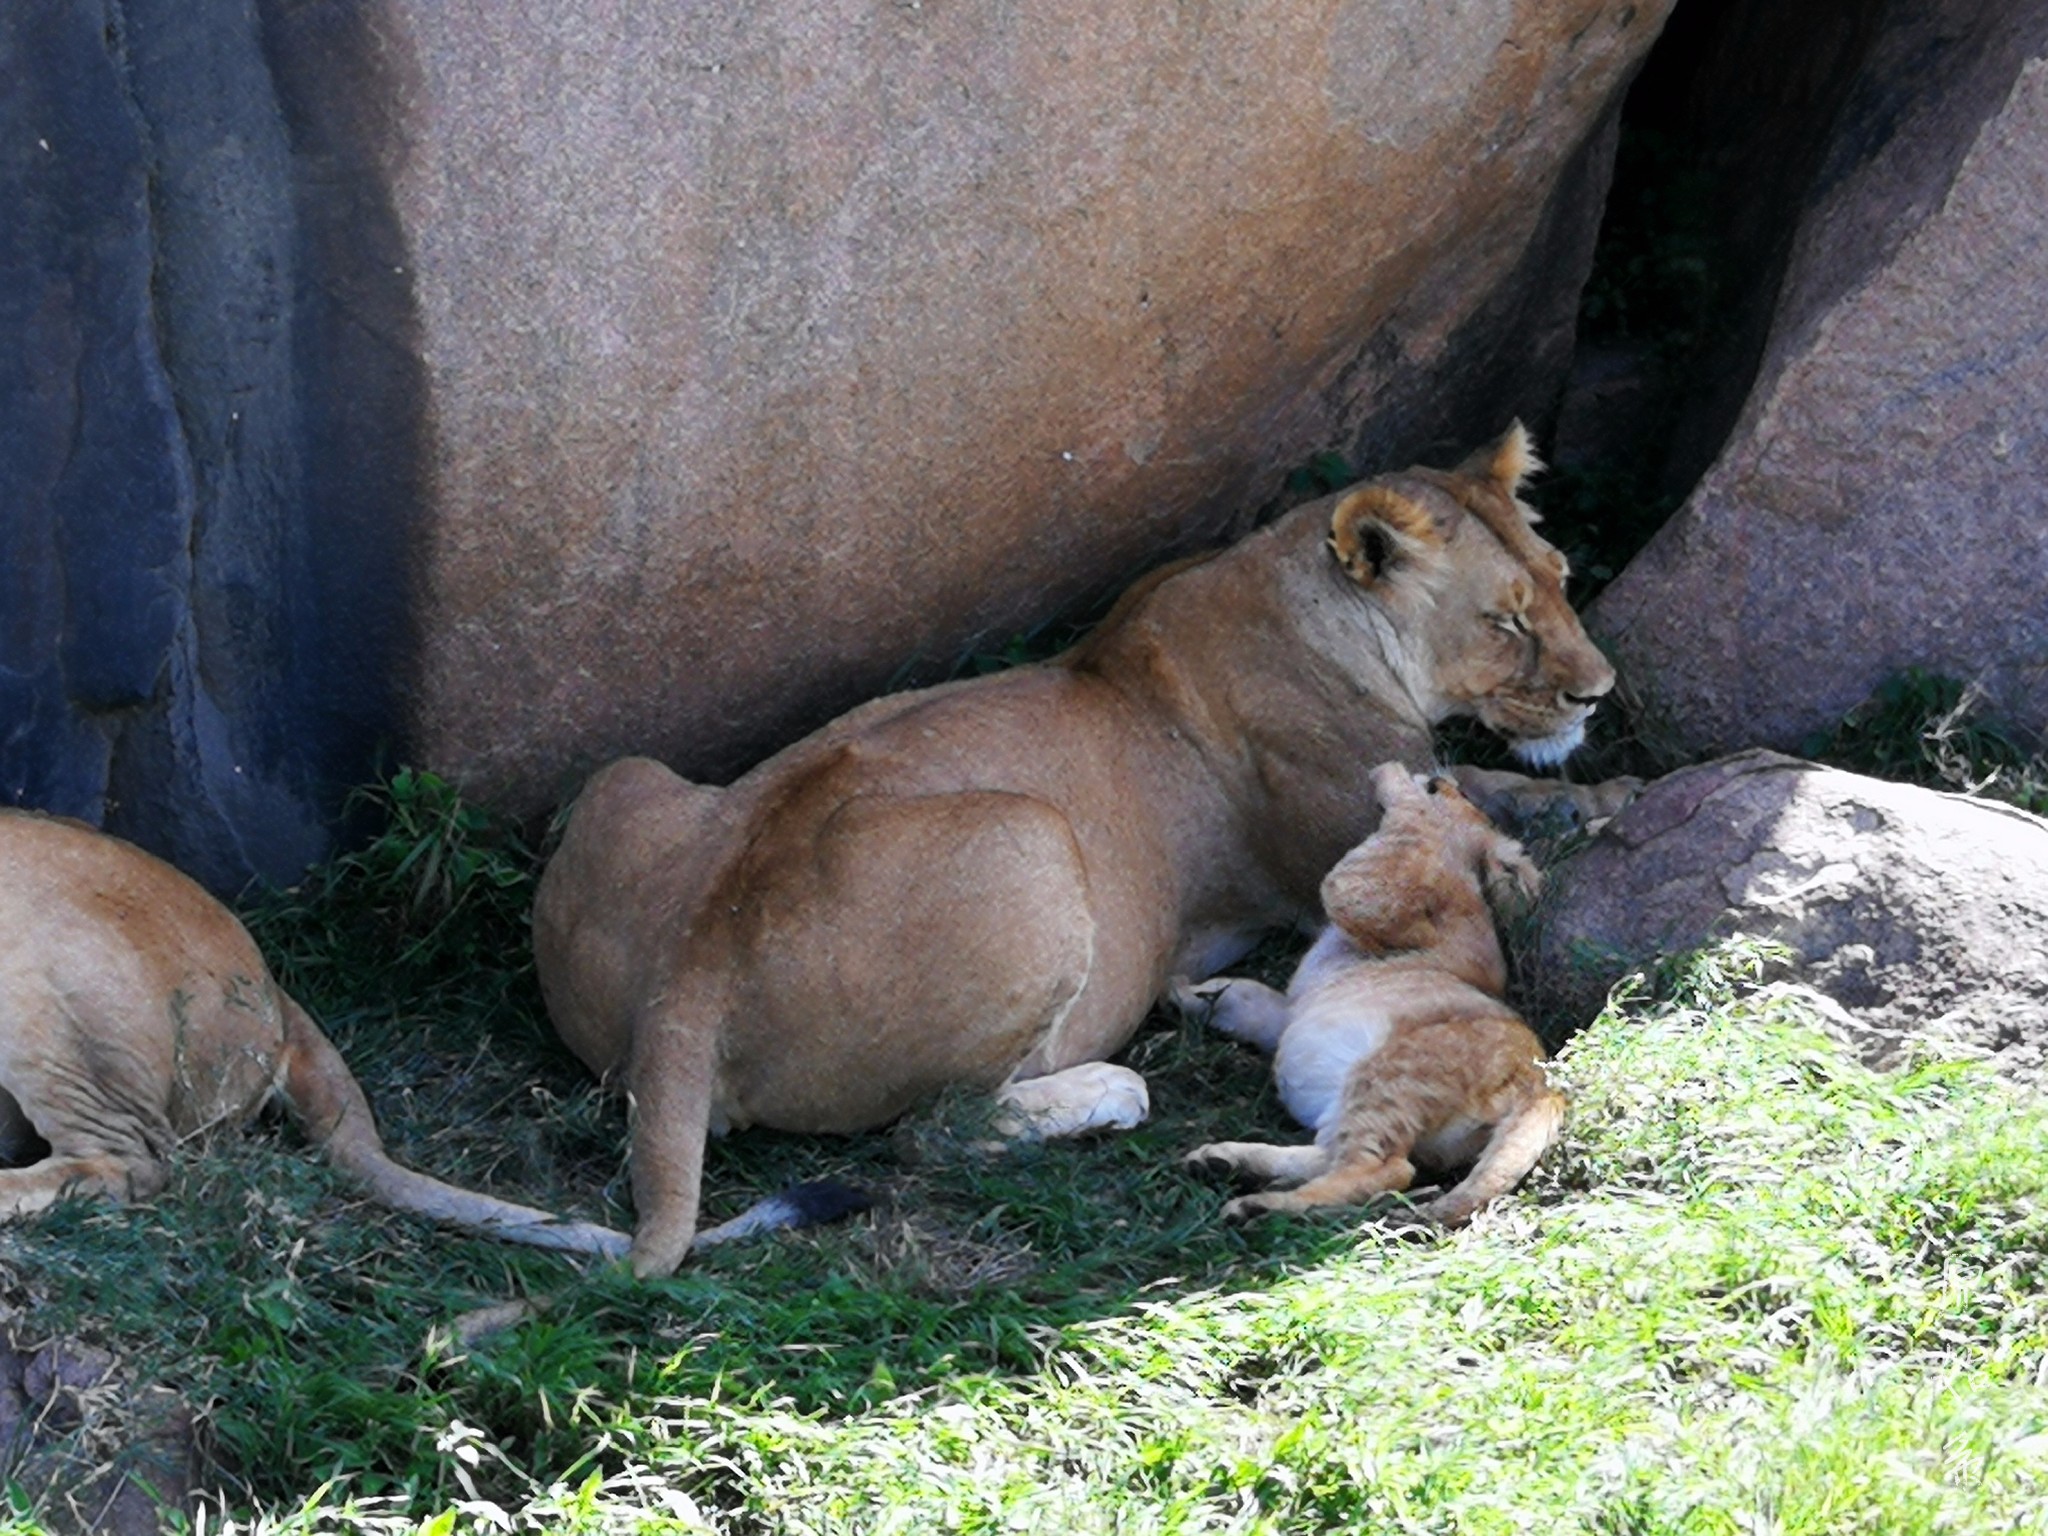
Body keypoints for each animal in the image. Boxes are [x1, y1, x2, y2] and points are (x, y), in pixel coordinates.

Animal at [1179, 765, 1556, 1236]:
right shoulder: (1290, 1009)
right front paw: (1183, 991)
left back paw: (1258, 1206)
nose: (1443, 775)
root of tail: (1542, 1085)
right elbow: (1245, 996)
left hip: (1390, 1074)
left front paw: (1395, 778)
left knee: (1384, 1170)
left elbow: (1389, 846)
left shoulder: (1392, 891)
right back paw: (1224, 1163)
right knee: (1335, 1158)